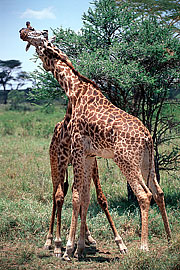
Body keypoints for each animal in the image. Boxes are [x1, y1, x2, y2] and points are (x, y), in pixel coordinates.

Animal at [19, 26, 172, 260]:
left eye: (36, 34)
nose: (22, 31)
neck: (73, 90)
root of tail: (147, 137)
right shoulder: (89, 154)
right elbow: (84, 197)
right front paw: (80, 248)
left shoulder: (78, 149)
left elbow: (76, 196)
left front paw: (69, 249)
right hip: (147, 162)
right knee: (159, 192)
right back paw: (170, 241)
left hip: (126, 160)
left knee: (144, 194)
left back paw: (143, 247)